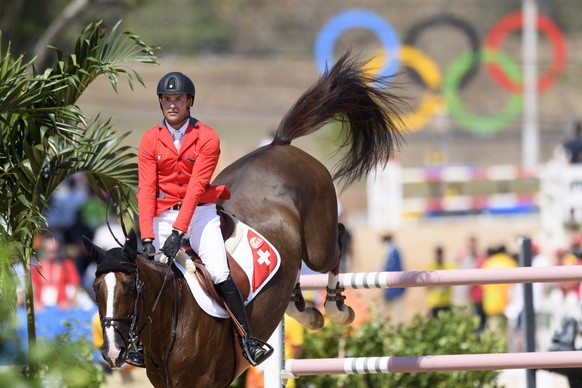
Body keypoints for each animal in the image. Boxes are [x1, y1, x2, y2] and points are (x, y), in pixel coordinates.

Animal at [85, 52, 406, 388]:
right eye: (96, 288)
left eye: (130, 288)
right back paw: (305, 312)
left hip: (318, 243)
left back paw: (335, 308)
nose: (111, 351)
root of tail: (279, 145)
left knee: (337, 243)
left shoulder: (205, 382)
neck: (173, 309)